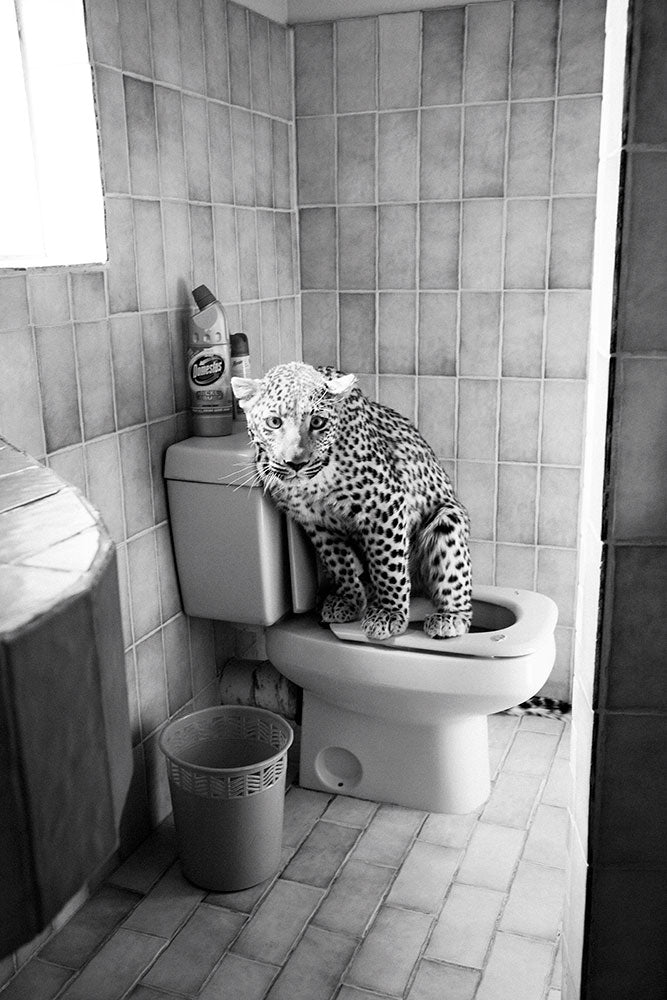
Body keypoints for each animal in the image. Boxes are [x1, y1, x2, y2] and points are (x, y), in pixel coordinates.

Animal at [232, 361, 472, 643]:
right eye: (274, 422)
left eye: (317, 422)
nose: (296, 463)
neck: (314, 483)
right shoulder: (315, 522)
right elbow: (339, 562)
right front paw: (350, 600)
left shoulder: (384, 504)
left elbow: (388, 564)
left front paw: (389, 613)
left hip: (448, 520)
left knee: (456, 585)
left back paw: (450, 617)